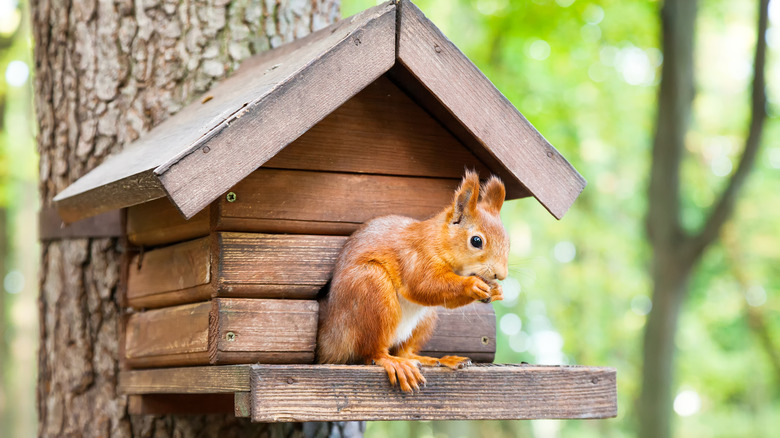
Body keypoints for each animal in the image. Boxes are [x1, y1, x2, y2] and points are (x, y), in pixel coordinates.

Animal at [316, 169, 512, 392]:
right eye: (476, 241)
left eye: (508, 242)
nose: (501, 275)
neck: (437, 240)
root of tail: (332, 335)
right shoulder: (416, 257)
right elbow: (424, 285)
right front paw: (472, 285)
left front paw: (496, 291)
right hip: (372, 290)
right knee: (373, 353)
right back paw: (394, 362)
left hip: (425, 319)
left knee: (405, 350)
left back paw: (438, 359)